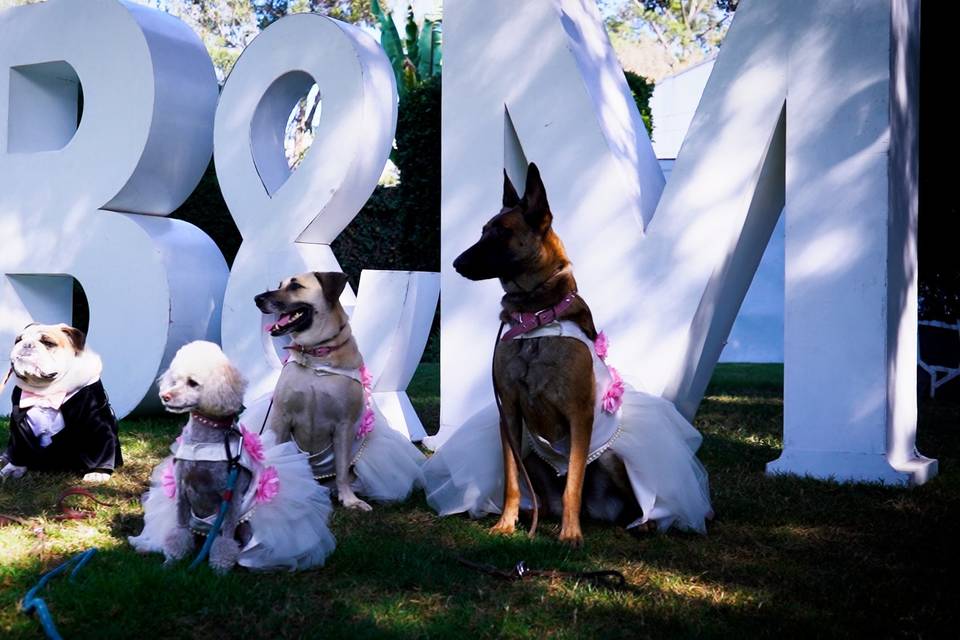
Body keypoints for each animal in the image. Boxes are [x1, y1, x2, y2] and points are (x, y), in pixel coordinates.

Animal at [456, 164, 640, 544]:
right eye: (482, 232)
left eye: (502, 234)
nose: (455, 263)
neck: (535, 319)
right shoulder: (509, 416)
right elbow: (511, 481)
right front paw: (505, 523)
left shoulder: (580, 416)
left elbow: (573, 484)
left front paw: (570, 534)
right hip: (529, 454)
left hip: (612, 458)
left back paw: (642, 522)